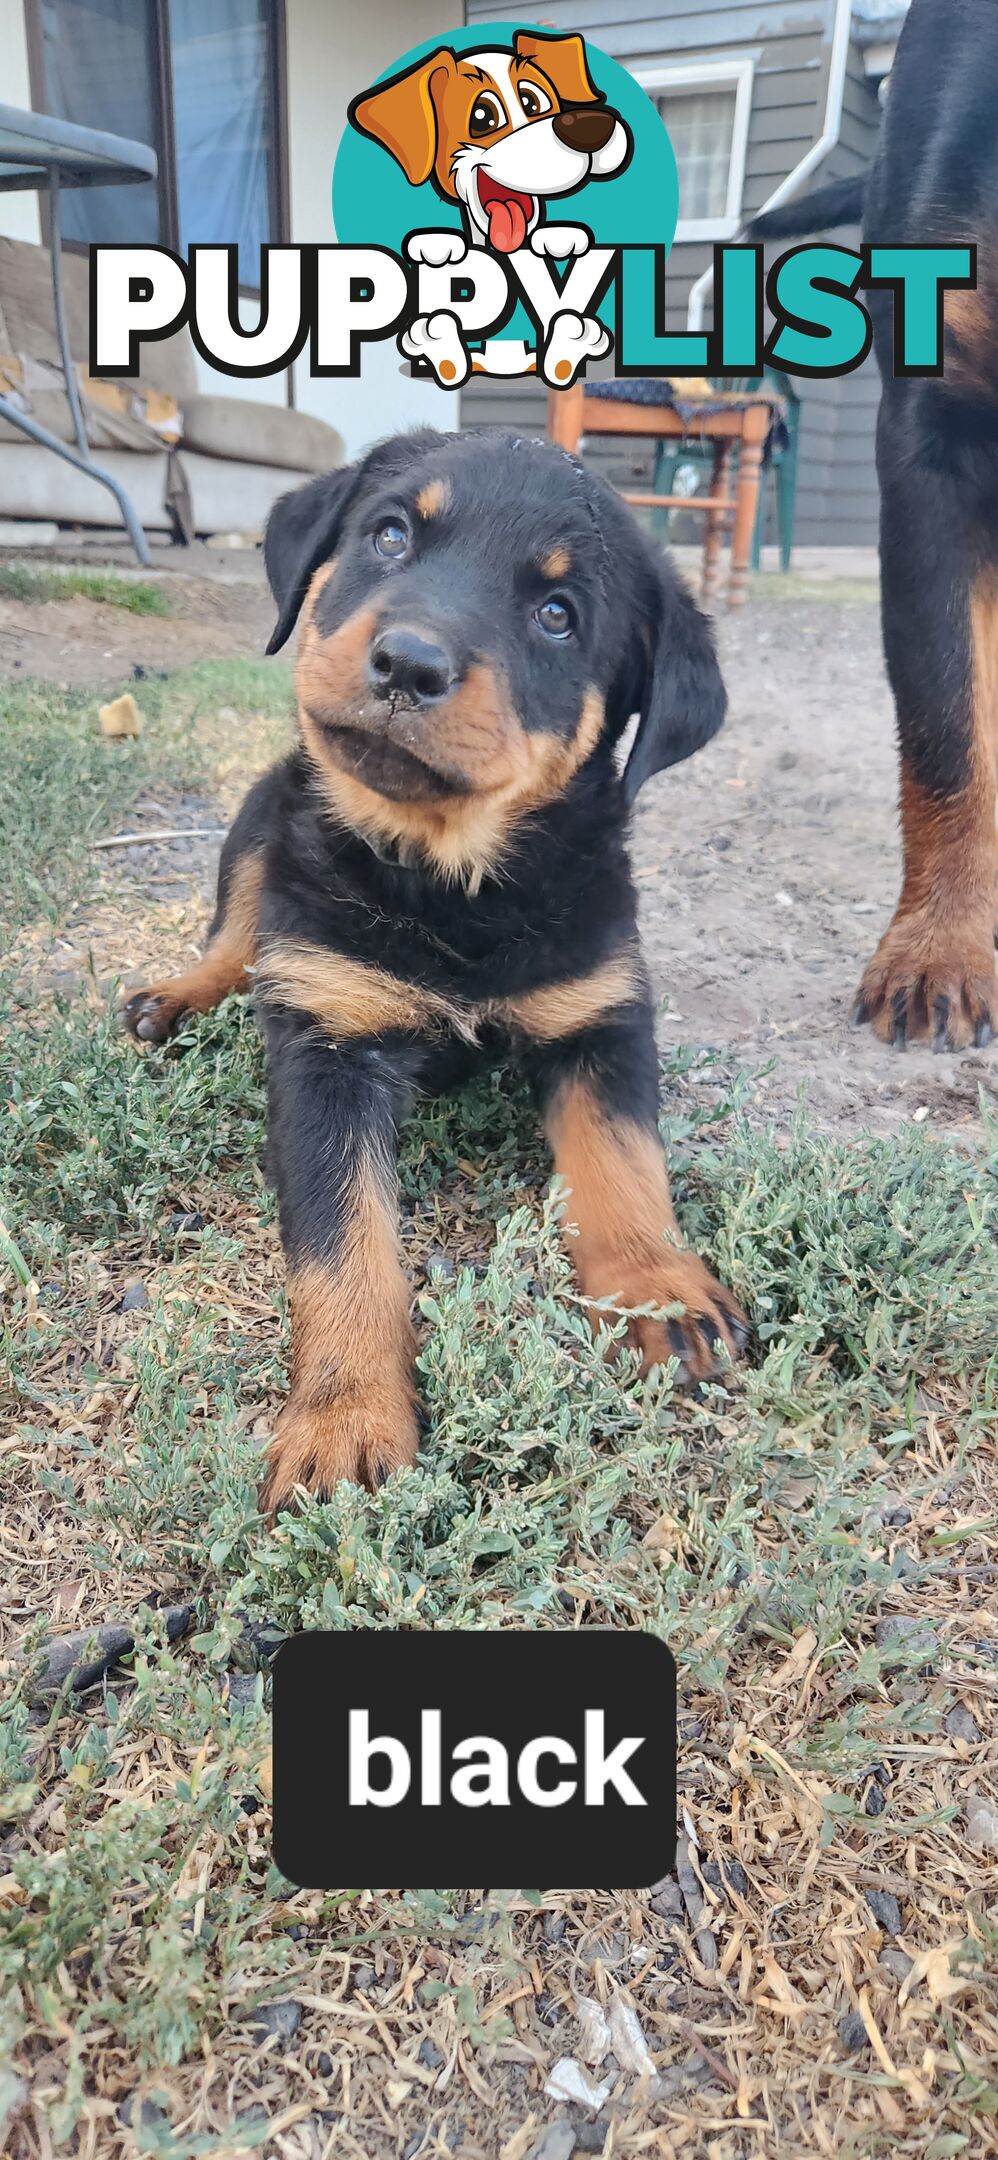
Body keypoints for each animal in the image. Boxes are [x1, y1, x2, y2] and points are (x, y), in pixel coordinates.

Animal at [124, 421, 743, 1503]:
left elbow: (626, 1163)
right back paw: (176, 997)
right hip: (261, 810)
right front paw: (344, 1415)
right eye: (388, 536)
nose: (407, 663)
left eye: (556, 615)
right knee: (236, 935)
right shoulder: (324, 1047)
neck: (450, 886)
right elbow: (344, 1246)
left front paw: (659, 1291)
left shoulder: (601, 1012)